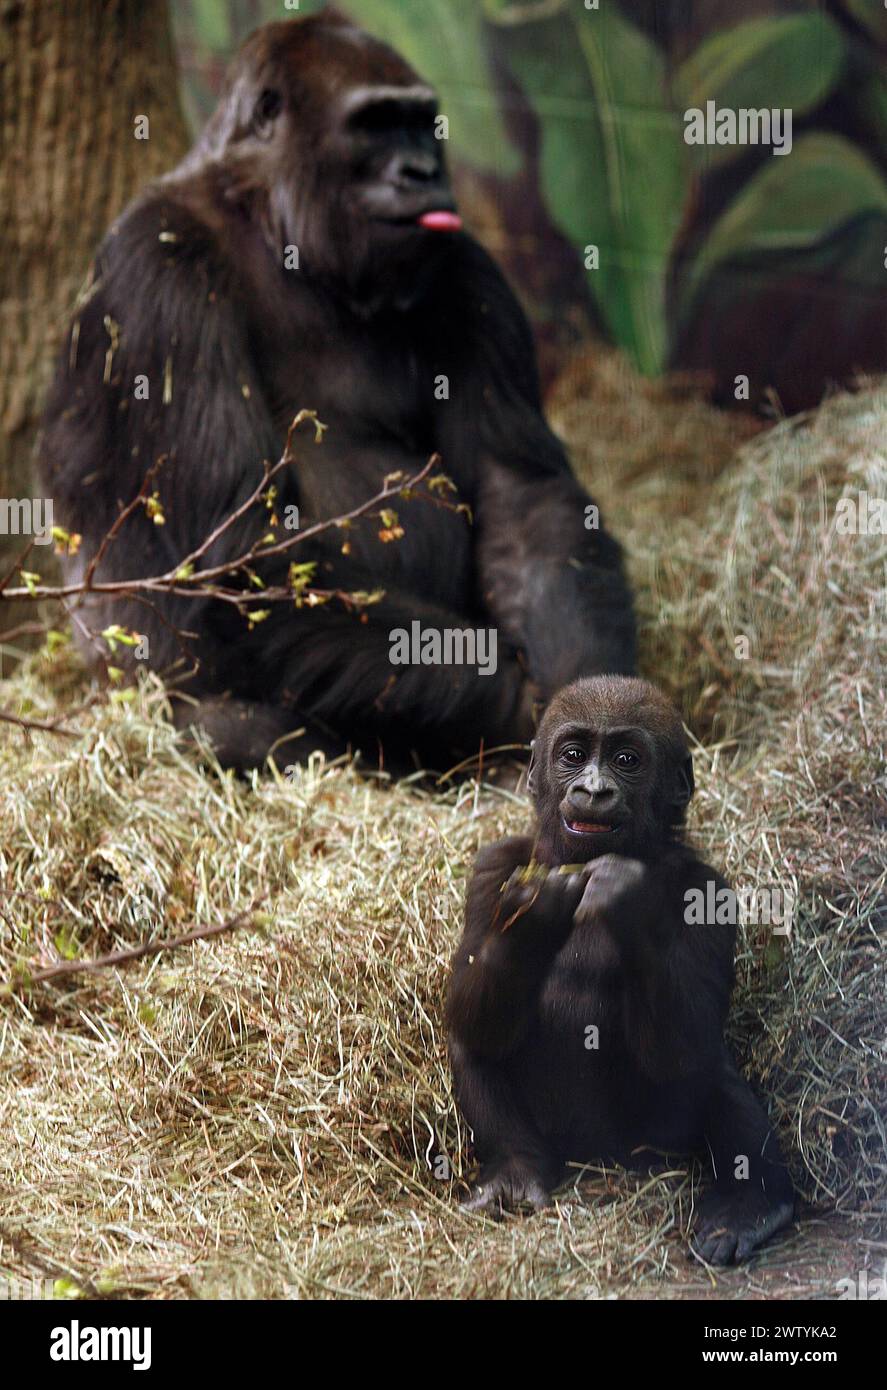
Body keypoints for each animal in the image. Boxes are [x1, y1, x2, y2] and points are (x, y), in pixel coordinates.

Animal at [447, 676, 795, 1264]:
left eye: (626, 760)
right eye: (572, 755)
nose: (593, 791)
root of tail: (594, 1165)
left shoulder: (709, 889)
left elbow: (687, 1047)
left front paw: (624, 899)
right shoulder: (491, 866)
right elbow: (470, 1011)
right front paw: (532, 916)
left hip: (648, 1147)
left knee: (709, 1064)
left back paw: (751, 1203)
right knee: (472, 1039)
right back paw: (515, 1168)